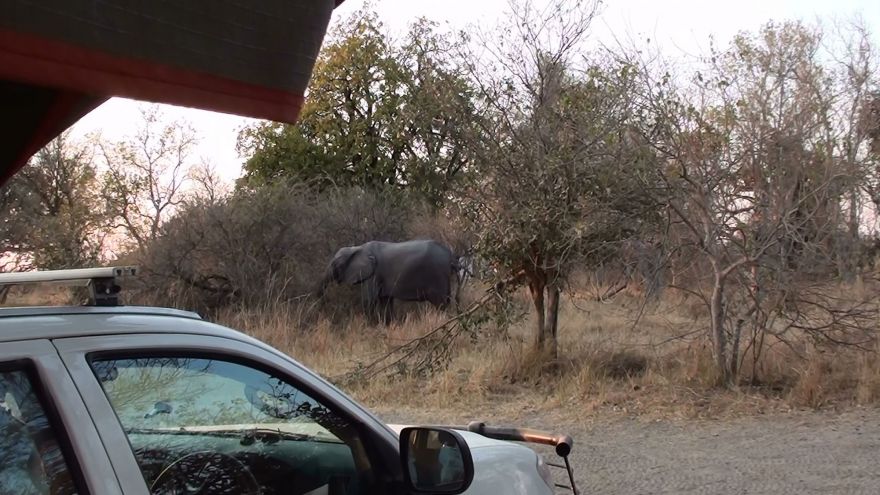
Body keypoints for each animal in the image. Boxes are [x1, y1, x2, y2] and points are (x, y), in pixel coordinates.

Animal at [316, 240, 460, 326]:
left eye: (336, 264)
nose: (322, 302)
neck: (357, 248)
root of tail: (451, 256)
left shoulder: (374, 274)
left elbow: (369, 301)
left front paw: (369, 328)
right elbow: (385, 302)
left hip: (437, 276)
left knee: (441, 304)